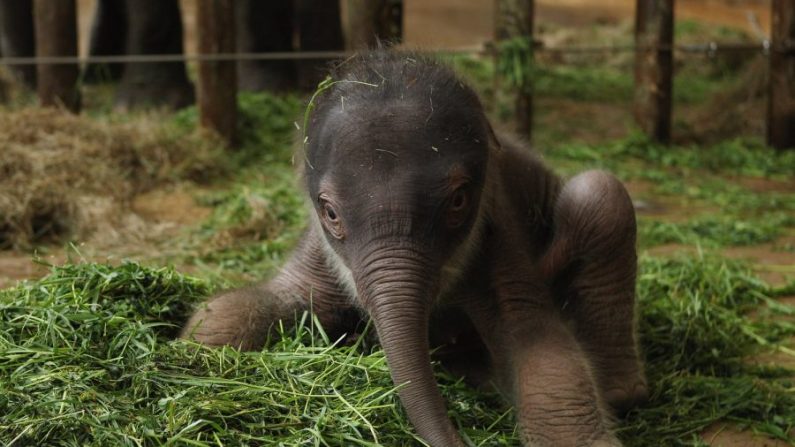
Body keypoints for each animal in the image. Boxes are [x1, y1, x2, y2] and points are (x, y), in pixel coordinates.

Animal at [183, 51, 648, 447]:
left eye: (458, 201)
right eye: (330, 212)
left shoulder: (500, 233)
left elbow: (542, 347)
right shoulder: (317, 249)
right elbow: (245, 309)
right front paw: (193, 347)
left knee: (600, 195)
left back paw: (617, 393)